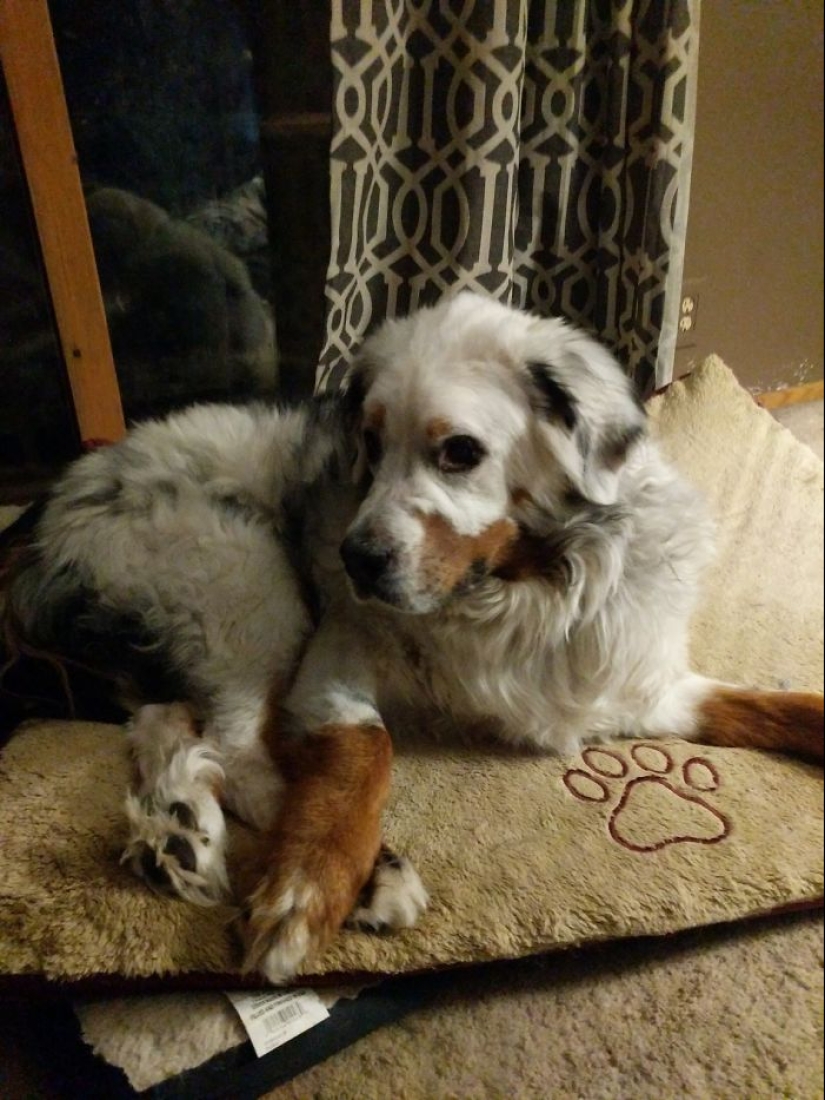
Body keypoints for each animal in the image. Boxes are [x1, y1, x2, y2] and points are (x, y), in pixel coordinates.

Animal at [1, 290, 825, 981]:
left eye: (458, 451)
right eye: (368, 443)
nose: (355, 560)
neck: (529, 586)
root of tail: (49, 515)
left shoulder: (642, 690)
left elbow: (776, 705)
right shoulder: (330, 669)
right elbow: (366, 753)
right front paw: (304, 891)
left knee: (162, 723)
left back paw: (177, 833)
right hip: (248, 585)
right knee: (235, 745)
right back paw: (364, 874)